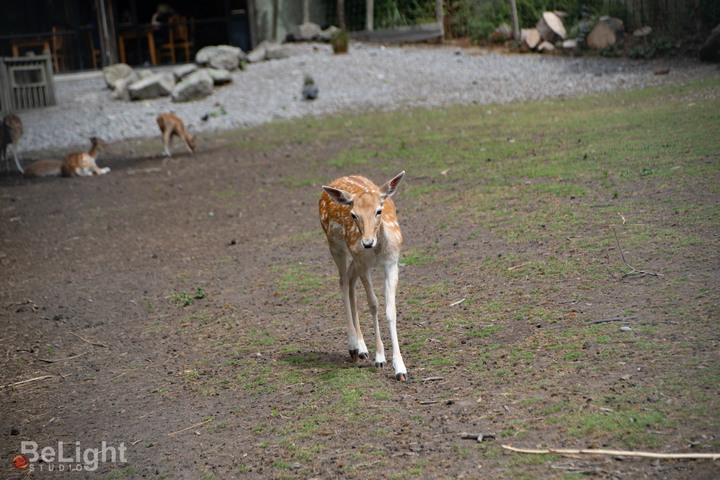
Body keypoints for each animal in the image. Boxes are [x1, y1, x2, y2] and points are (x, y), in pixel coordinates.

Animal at [322, 171, 410, 380]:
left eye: (379, 210)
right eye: (354, 215)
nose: (367, 242)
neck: (377, 252)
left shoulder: (392, 263)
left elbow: (390, 310)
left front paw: (400, 368)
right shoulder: (363, 263)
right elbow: (373, 304)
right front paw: (380, 358)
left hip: (354, 258)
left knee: (350, 280)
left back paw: (362, 348)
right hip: (335, 246)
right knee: (343, 282)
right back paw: (354, 346)